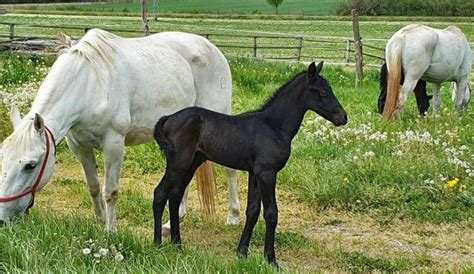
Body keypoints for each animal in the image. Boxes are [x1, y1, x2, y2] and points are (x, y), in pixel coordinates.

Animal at [0, 28, 241, 231]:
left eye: (30, 165)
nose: (2, 219)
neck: (89, 84)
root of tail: (212, 48)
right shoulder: (79, 145)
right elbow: (93, 186)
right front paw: (100, 221)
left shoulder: (114, 144)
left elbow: (110, 191)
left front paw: (111, 231)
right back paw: (172, 223)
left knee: (230, 170)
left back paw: (233, 216)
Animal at [154, 61, 346, 268]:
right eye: (323, 92)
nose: (343, 117)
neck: (274, 126)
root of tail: (168, 118)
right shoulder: (267, 174)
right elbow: (271, 214)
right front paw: (271, 259)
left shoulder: (255, 174)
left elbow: (252, 211)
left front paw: (242, 252)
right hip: (178, 163)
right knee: (160, 193)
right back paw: (157, 244)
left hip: (191, 163)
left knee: (174, 195)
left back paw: (177, 244)